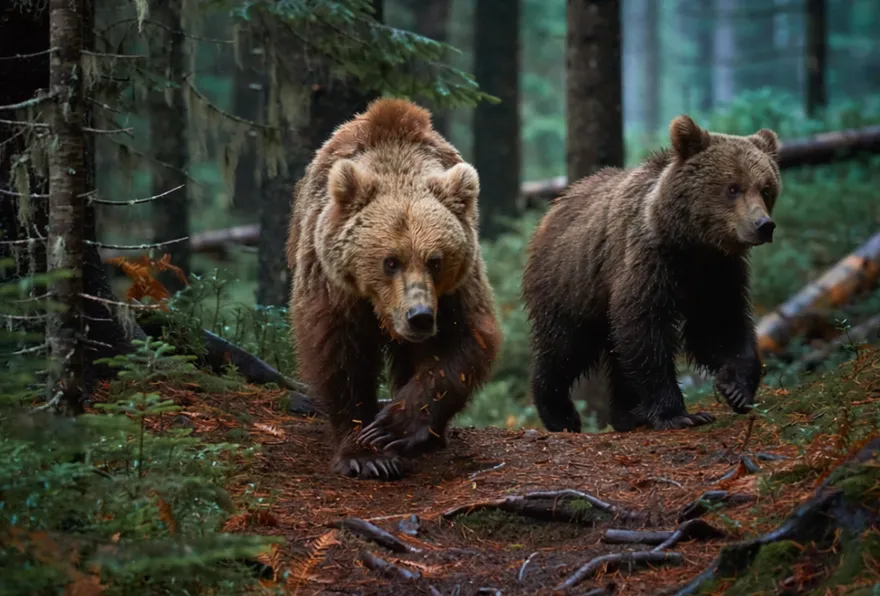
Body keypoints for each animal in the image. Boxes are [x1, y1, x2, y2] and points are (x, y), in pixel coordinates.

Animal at [286, 97, 502, 480]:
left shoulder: (456, 290)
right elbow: (339, 355)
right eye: (390, 261)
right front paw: (366, 454)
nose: (419, 316)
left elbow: (460, 345)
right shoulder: (333, 285)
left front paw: (394, 428)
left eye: (435, 260)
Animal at [521, 115, 781, 433]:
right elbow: (645, 329)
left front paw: (735, 388)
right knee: (565, 347)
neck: (692, 244)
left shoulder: (719, 272)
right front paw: (679, 413)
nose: (763, 225)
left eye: (766, 189)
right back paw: (560, 414)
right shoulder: (650, 261)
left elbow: (720, 323)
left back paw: (627, 414)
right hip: (571, 281)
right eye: (733, 188)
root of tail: (555, 206)